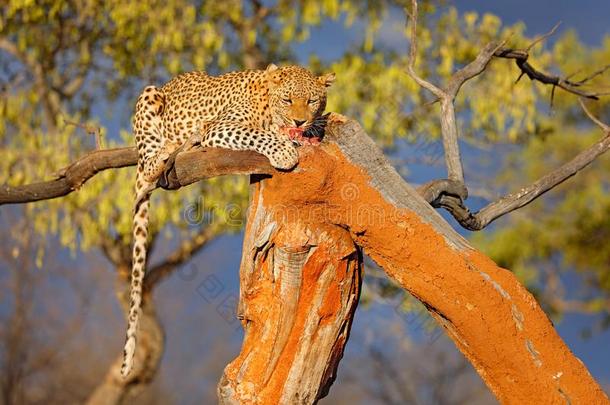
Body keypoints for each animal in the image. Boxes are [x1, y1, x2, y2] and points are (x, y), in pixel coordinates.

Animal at [121, 63, 334, 376]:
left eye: (312, 101)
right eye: (288, 100)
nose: (300, 120)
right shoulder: (221, 126)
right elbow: (256, 135)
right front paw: (284, 151)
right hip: (149, 97)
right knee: (149, 163)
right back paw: (167, 151)